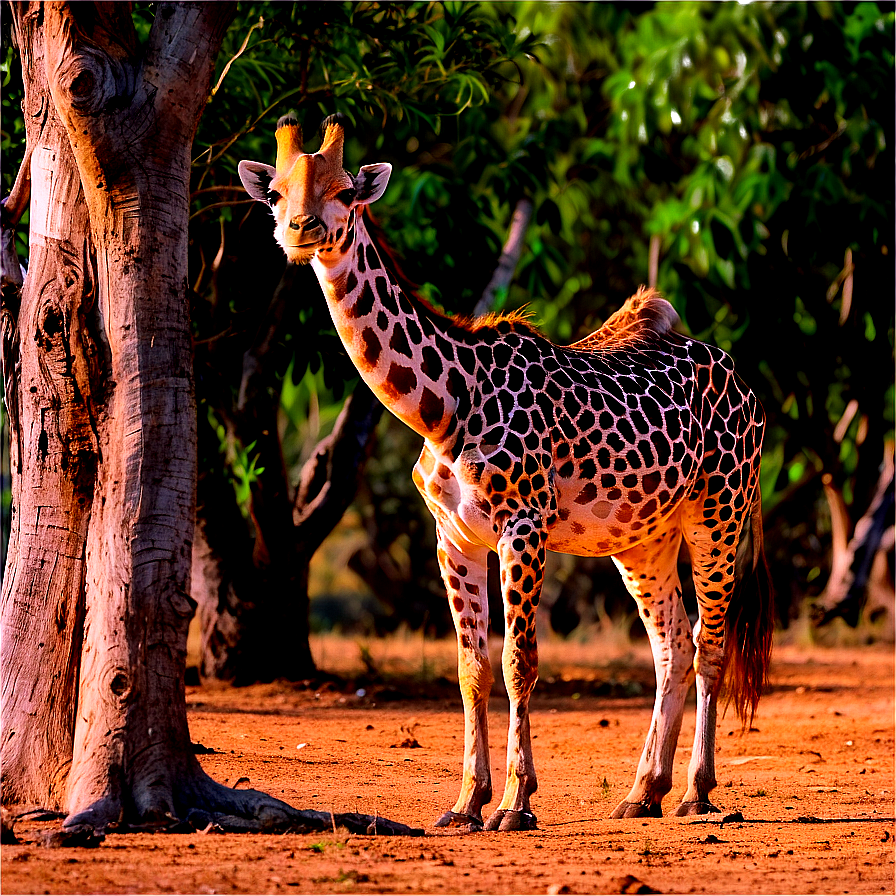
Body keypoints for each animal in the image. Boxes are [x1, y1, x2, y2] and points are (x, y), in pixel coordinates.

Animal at [240, 115, 776, 828]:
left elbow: (520, 661)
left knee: (710, 641)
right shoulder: (454, 537)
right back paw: (643, 792)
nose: (300, 231)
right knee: (672, 649)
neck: (444, 407)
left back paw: (697, 792)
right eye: (274, 194)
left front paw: (516, 804)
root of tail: (747, 384)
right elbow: (471, 669)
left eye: (347, 192)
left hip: (717, 513)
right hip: (644, 539)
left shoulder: (524, 526)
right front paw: (467, 802)